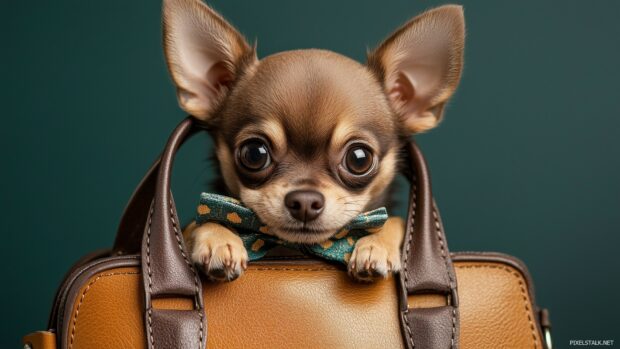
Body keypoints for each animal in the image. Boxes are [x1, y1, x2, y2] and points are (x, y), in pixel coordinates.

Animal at [162, 0, 462, 282]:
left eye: (359, 159)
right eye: (255, 153)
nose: (304, 201)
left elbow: (397, 221)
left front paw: (376, 243)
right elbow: (194, 224)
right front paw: (217, 236)